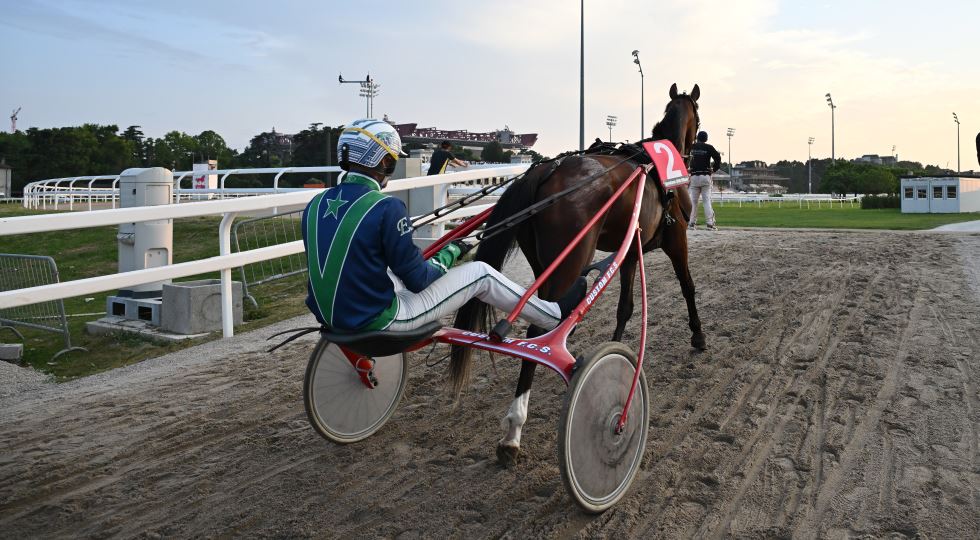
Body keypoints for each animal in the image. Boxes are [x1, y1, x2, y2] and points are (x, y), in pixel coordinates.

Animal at [448, 82, 708, 462]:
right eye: (699, 119)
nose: (697, 148)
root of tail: (544, 171)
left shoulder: (631, 250)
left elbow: (625, 307)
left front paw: (618, 349)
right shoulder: (677, 240)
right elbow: (688, 286)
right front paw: (698, 335)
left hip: (546, 262)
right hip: (569, 261)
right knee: (539, 328)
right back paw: (514, 428)